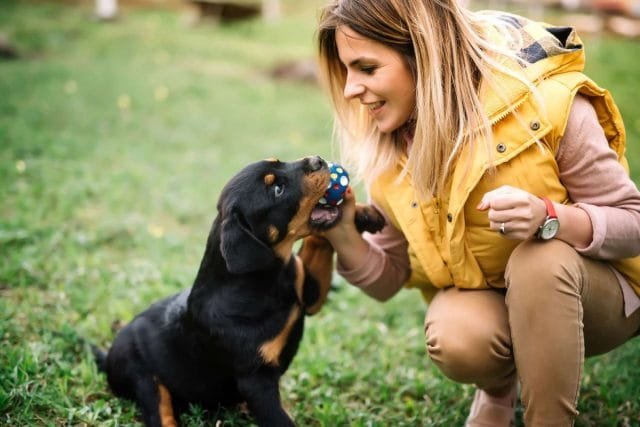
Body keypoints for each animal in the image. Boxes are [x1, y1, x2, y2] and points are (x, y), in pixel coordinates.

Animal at [94, 158, 384, 427]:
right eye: (277, 190)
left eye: (280, 162)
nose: (318, 160)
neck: (265, 278)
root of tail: (107, 357)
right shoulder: (256, 380)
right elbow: (279, 420)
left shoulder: (309, 293)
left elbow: (318, 240)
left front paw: (362, 213)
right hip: (144, 378)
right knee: (160, 414)